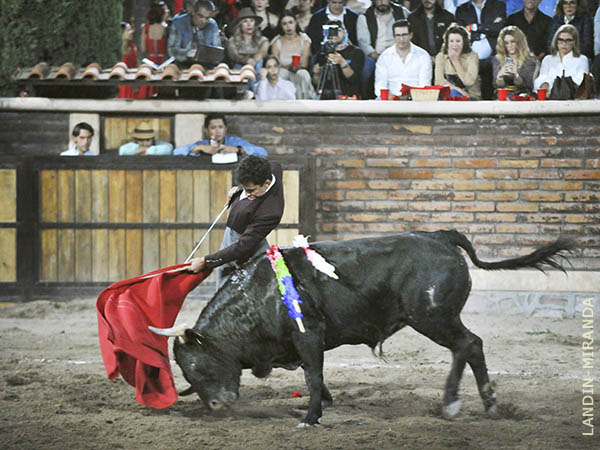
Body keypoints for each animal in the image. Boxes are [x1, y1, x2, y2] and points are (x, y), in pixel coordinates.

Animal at [152, 232, 576, 426]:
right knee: (473, 346)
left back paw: (453, 403)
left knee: (466, 345)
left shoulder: (309, 335)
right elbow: (315, 376)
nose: (216, 406)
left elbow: (313, 374)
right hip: (438, 318)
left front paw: (310, 417)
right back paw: (487, 404)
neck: (259, 294)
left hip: (433, 317)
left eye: (198, 365)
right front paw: (323, 404)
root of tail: (439, 236)